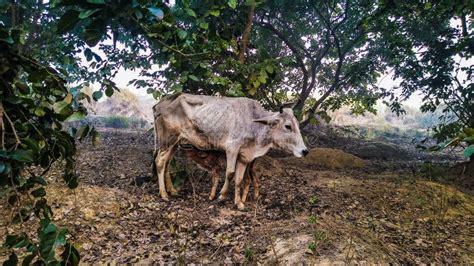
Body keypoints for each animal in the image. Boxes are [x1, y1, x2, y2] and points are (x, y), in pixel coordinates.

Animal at [152, 92, 308, 209]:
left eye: (297, 123)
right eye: (288, 126)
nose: (305, 151)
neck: (253, 123)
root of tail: (159, 104)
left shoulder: (244, 156)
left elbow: (239, 179)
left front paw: (238, 203)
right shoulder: (232, 148)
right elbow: (230, 173)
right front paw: (221, 196)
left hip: (175, 143)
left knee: (167, 163)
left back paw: (172, 190)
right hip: (167, 140)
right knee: (160, 162)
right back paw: (164, 194)